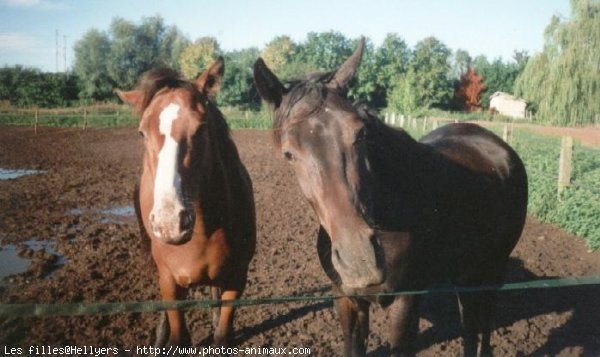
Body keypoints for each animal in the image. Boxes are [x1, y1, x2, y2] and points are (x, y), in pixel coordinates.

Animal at [117, 57, 255, 344]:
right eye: (141, 133)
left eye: (201, 127)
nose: (170, 223)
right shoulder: (169, 281)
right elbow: (179, 335)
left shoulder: (238, 277)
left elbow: (222, 334)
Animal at [253, 40, 524, 354]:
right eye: (288, 153)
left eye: (360, 134)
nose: (360, 261)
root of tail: (499, 148)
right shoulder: (346, 299)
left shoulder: (405, 304)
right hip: (465, 269)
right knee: (469, 324)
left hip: (494, 267)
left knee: (485, 321)